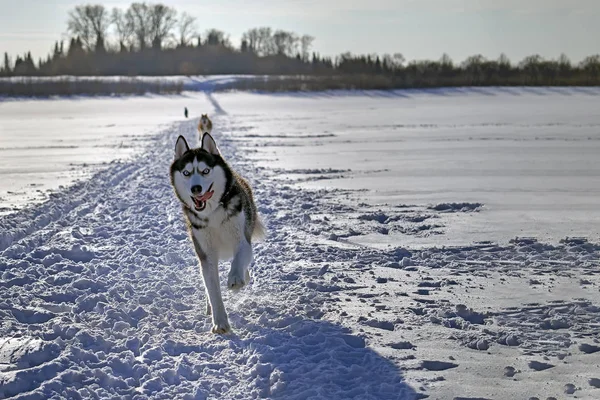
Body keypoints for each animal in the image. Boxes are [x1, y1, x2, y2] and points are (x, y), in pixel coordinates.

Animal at [169, 133, 262, 332]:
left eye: (205, 171)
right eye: (186, 173)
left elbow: (240, 259)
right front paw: (219, 321)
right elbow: (212, 289)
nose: (195, 188)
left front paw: (236, 278)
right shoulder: (206, 253)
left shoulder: (242, 238)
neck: (212, 214)